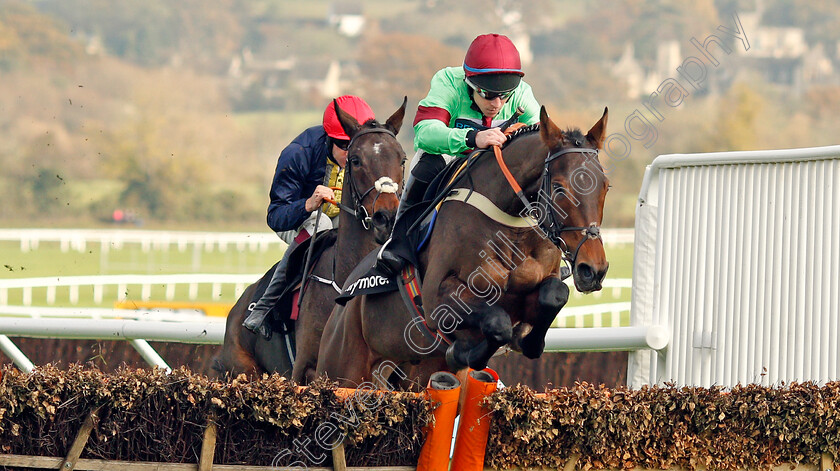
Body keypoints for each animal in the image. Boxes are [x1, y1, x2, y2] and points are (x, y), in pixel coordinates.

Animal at [210, 97, 406, 382]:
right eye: (356, 159)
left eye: (402, 159)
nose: (386, 217)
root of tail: (236, 309)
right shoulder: (306, 369)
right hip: (243, 367)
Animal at [316, 108, 612, 390]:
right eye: (560, 189)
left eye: (606, 186)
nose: (593, 269)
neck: (510, 224)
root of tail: (340, 306)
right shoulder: (437, 299)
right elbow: (497, 322)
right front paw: (463, 350)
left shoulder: (540, 283)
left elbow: (554, 295)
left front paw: (526, 341)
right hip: (343, 369)